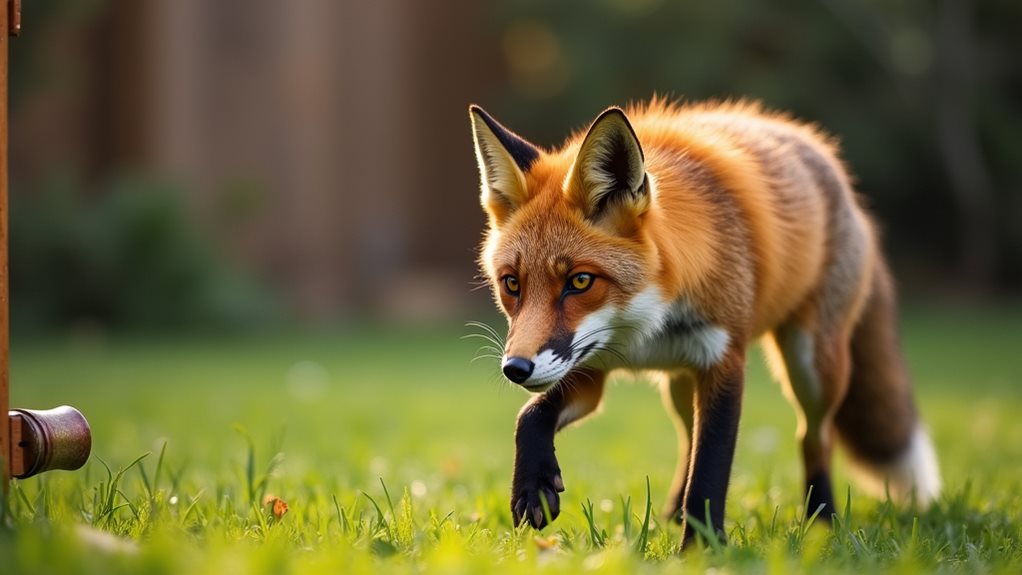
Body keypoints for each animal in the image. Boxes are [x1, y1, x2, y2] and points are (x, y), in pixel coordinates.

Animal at [468, 98, 941, 545]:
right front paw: (532, 487)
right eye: (512, 283)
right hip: (681, 384)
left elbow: (710, 470)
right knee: (687, 438)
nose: (515, 369)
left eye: (580, 281)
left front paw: (700, 549)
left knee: (813, 436)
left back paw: (821, 519)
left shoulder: (723, 362)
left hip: (812, 367)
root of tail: (827, 159)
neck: (641, 330)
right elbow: (530, 416)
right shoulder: (589, 368)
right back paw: (672, 514)